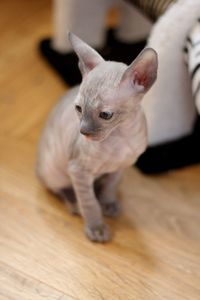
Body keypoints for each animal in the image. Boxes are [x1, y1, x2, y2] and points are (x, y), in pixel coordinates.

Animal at [36, 32, 157, 243]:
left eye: (105, 115)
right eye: (79, 109)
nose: (83, 131)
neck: (121, 136)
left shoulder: (122, 166)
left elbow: (111, 185)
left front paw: (108, 202)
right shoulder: (78, 171)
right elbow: (90, 202)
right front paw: (96, 227)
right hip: (55, 170)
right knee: (59, 188)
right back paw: (74, 203)